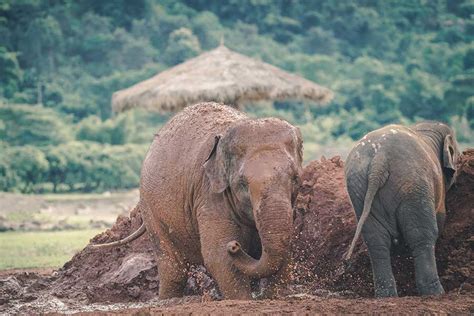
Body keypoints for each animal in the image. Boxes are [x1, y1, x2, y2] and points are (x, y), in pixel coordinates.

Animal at [90, 102, 302, 300]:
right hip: (150, 208)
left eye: (295, 178)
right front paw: (244, 300)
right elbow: (218, 255)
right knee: (173, 269)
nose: (234, 246)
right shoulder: (209, 194)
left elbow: (286, 247)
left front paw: (272, 297)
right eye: (242, 183)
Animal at [344, 122, 460, 298]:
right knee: (422, 236)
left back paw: (386, 295)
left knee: (376, 240)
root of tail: (379, 160)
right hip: (413, 185)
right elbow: (439, 219)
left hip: (358, 187)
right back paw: (435, 293)